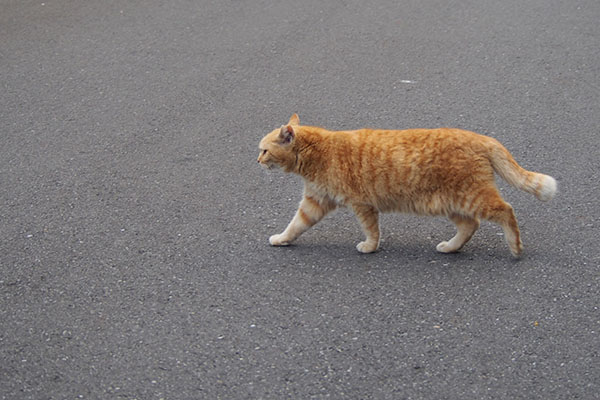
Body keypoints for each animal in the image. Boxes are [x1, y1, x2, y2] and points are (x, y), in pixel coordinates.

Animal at [258, 113, 556, 256]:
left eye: (264, 150)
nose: (256, 160)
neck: (319, 152)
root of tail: (482, 138)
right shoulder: (315, 202)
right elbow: (295, 225)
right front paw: (282, 239)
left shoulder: (362, 204)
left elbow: (372, 230)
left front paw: (370, 247)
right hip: (452, 203)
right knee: (470, 225)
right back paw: (450, 247)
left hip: (472, 197)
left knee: (506, 211)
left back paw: (515, 248)